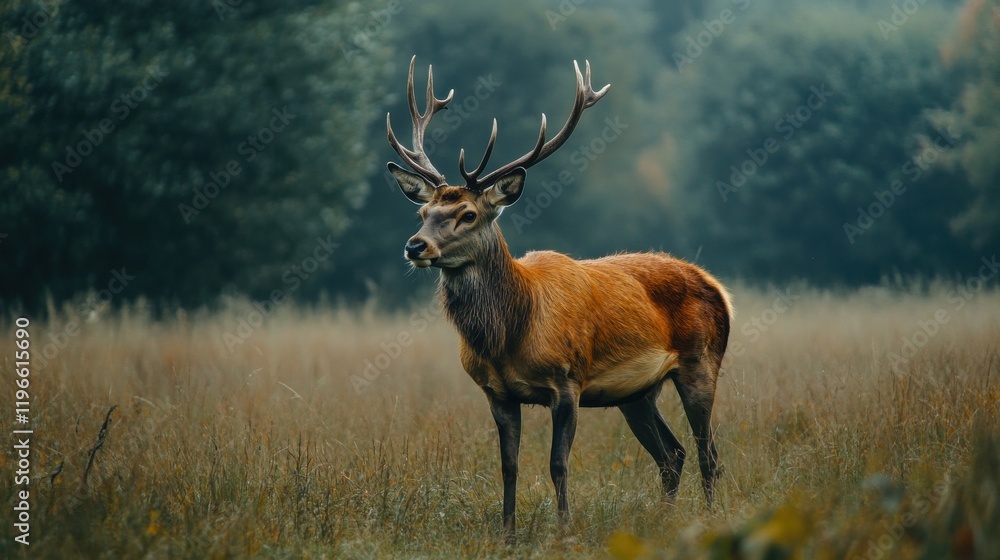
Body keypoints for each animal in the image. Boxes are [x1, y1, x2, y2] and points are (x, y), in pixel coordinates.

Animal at [386, 56, 732, 539]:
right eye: (422, 211)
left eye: (467, 214)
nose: (415, 246)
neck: (510, 332)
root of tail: (716, 286)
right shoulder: (496, 393)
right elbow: (508, 466)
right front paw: (508, 534)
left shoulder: (567, 381)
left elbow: (558, 465)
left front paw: (565, 530)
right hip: (637, 393)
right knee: (672, 455)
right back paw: (665, 520)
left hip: (702, 361)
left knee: (708, 454)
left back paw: (710, 519)